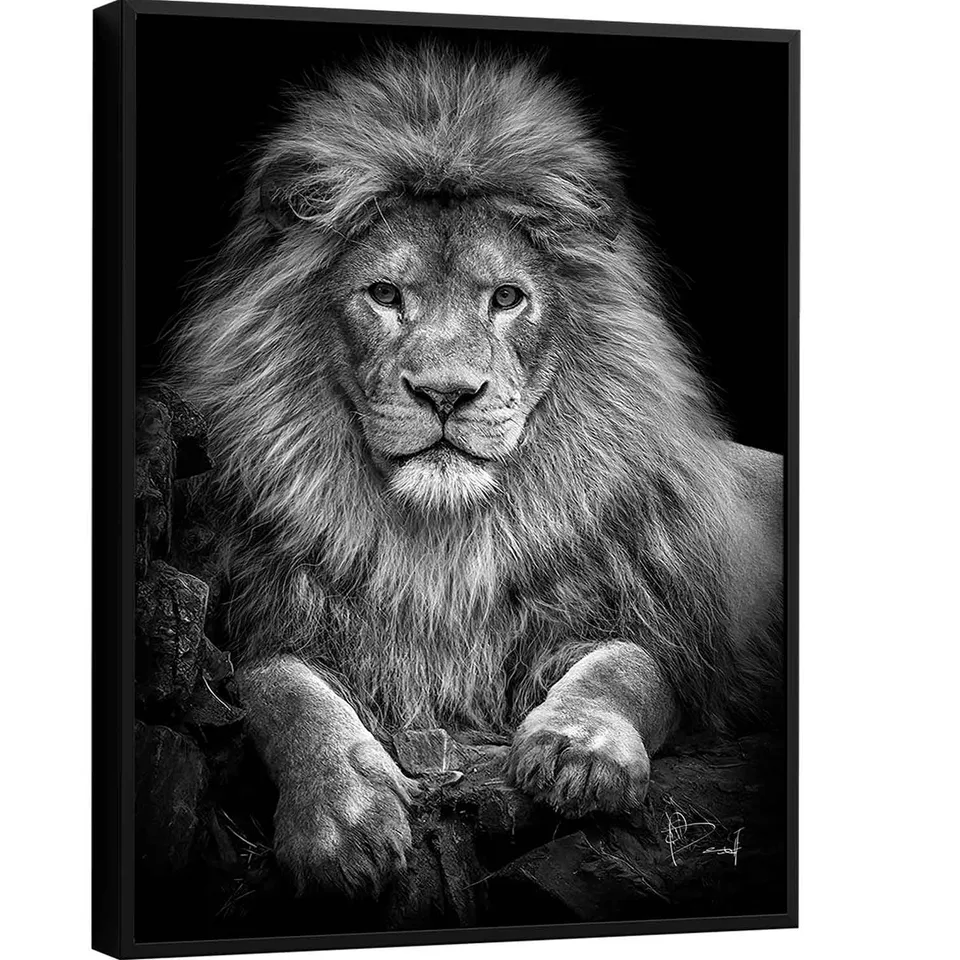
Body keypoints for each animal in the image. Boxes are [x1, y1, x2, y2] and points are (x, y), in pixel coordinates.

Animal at [171, 44, 783, 898]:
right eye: (384, 294)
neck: (445, 540)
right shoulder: (270, 617)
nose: (446, 393)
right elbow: (278, 690)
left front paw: (581, 750)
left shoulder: (664, 634)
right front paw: (342, 817)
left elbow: (630, 666)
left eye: (507, 297)